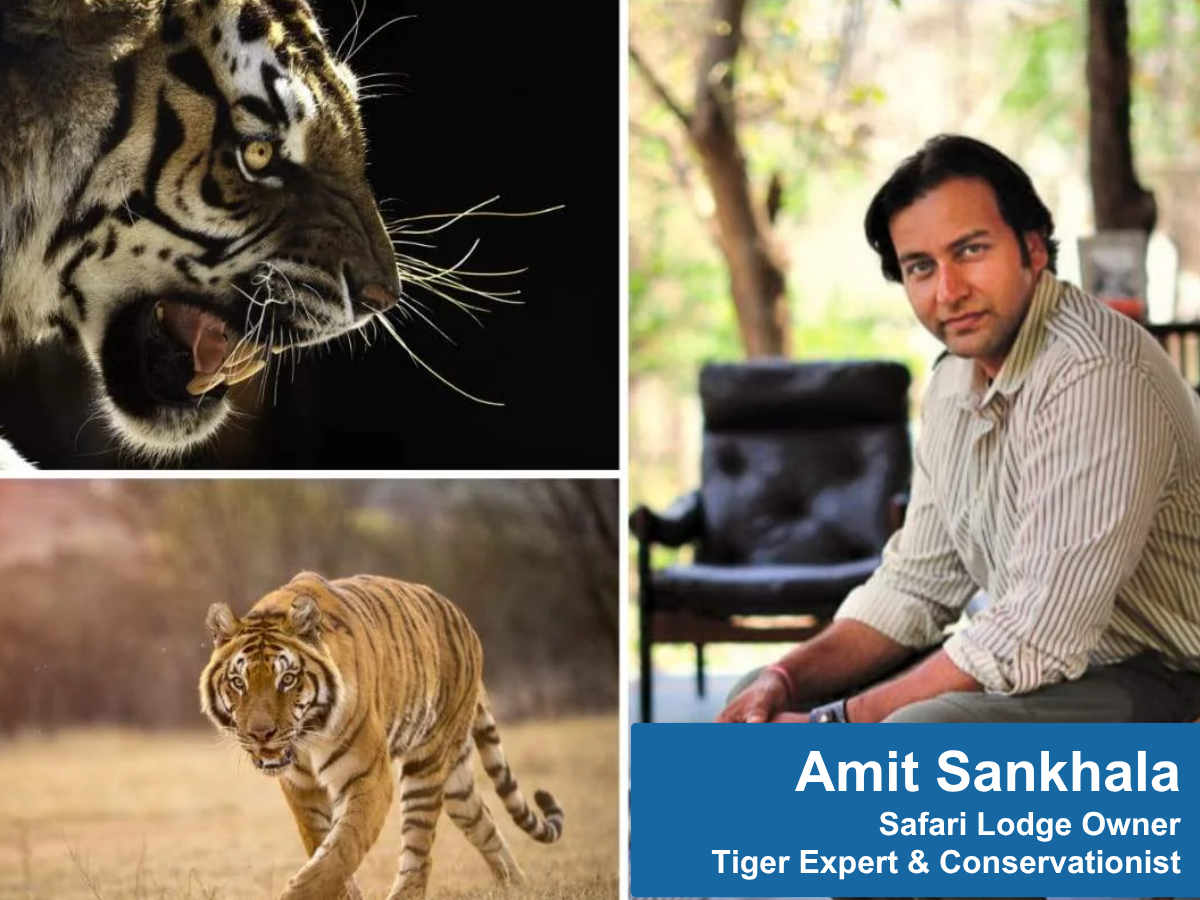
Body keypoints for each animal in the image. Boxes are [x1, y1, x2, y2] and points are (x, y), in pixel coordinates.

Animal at [199, 571, 564, 900]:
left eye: (287, 679)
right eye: (238, 682)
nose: (261, 734)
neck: (308, 739)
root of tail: (464, 621)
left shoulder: (368, 776)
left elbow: (341, 851)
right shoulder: (301, 787)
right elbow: (322, 847)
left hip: (427, 764)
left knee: (419, 852)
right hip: (456, 780)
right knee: (482, 821)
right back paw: (518, 886)